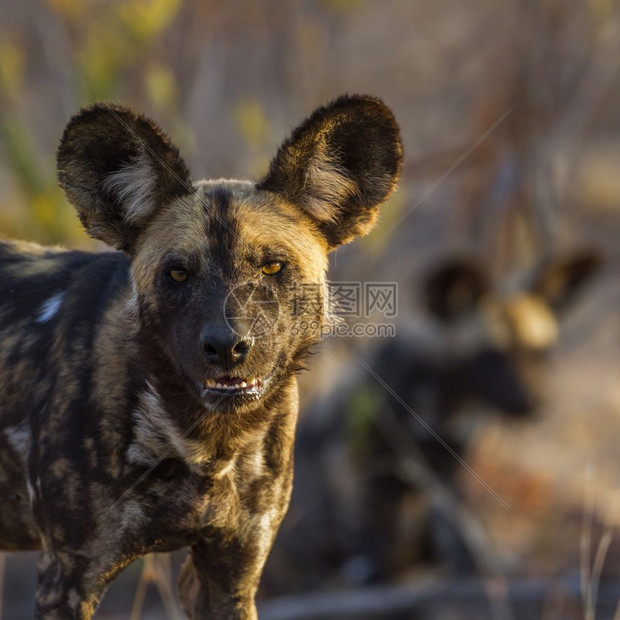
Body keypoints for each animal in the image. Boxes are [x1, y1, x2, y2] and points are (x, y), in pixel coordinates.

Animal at [0, 94, 402, 616]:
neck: (207, 447)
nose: (227, 345)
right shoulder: (69, 580)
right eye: (177, 273)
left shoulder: (230, 577)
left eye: (272, 267)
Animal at [268, 251, 600, 592]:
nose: (534, 404)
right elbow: (376, 529)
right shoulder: (368, 462)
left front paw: (467, 569)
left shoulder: (445, 467)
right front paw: (384, 578)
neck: (447, 395)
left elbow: (453, 525)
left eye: (540, 352)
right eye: (491, 356)